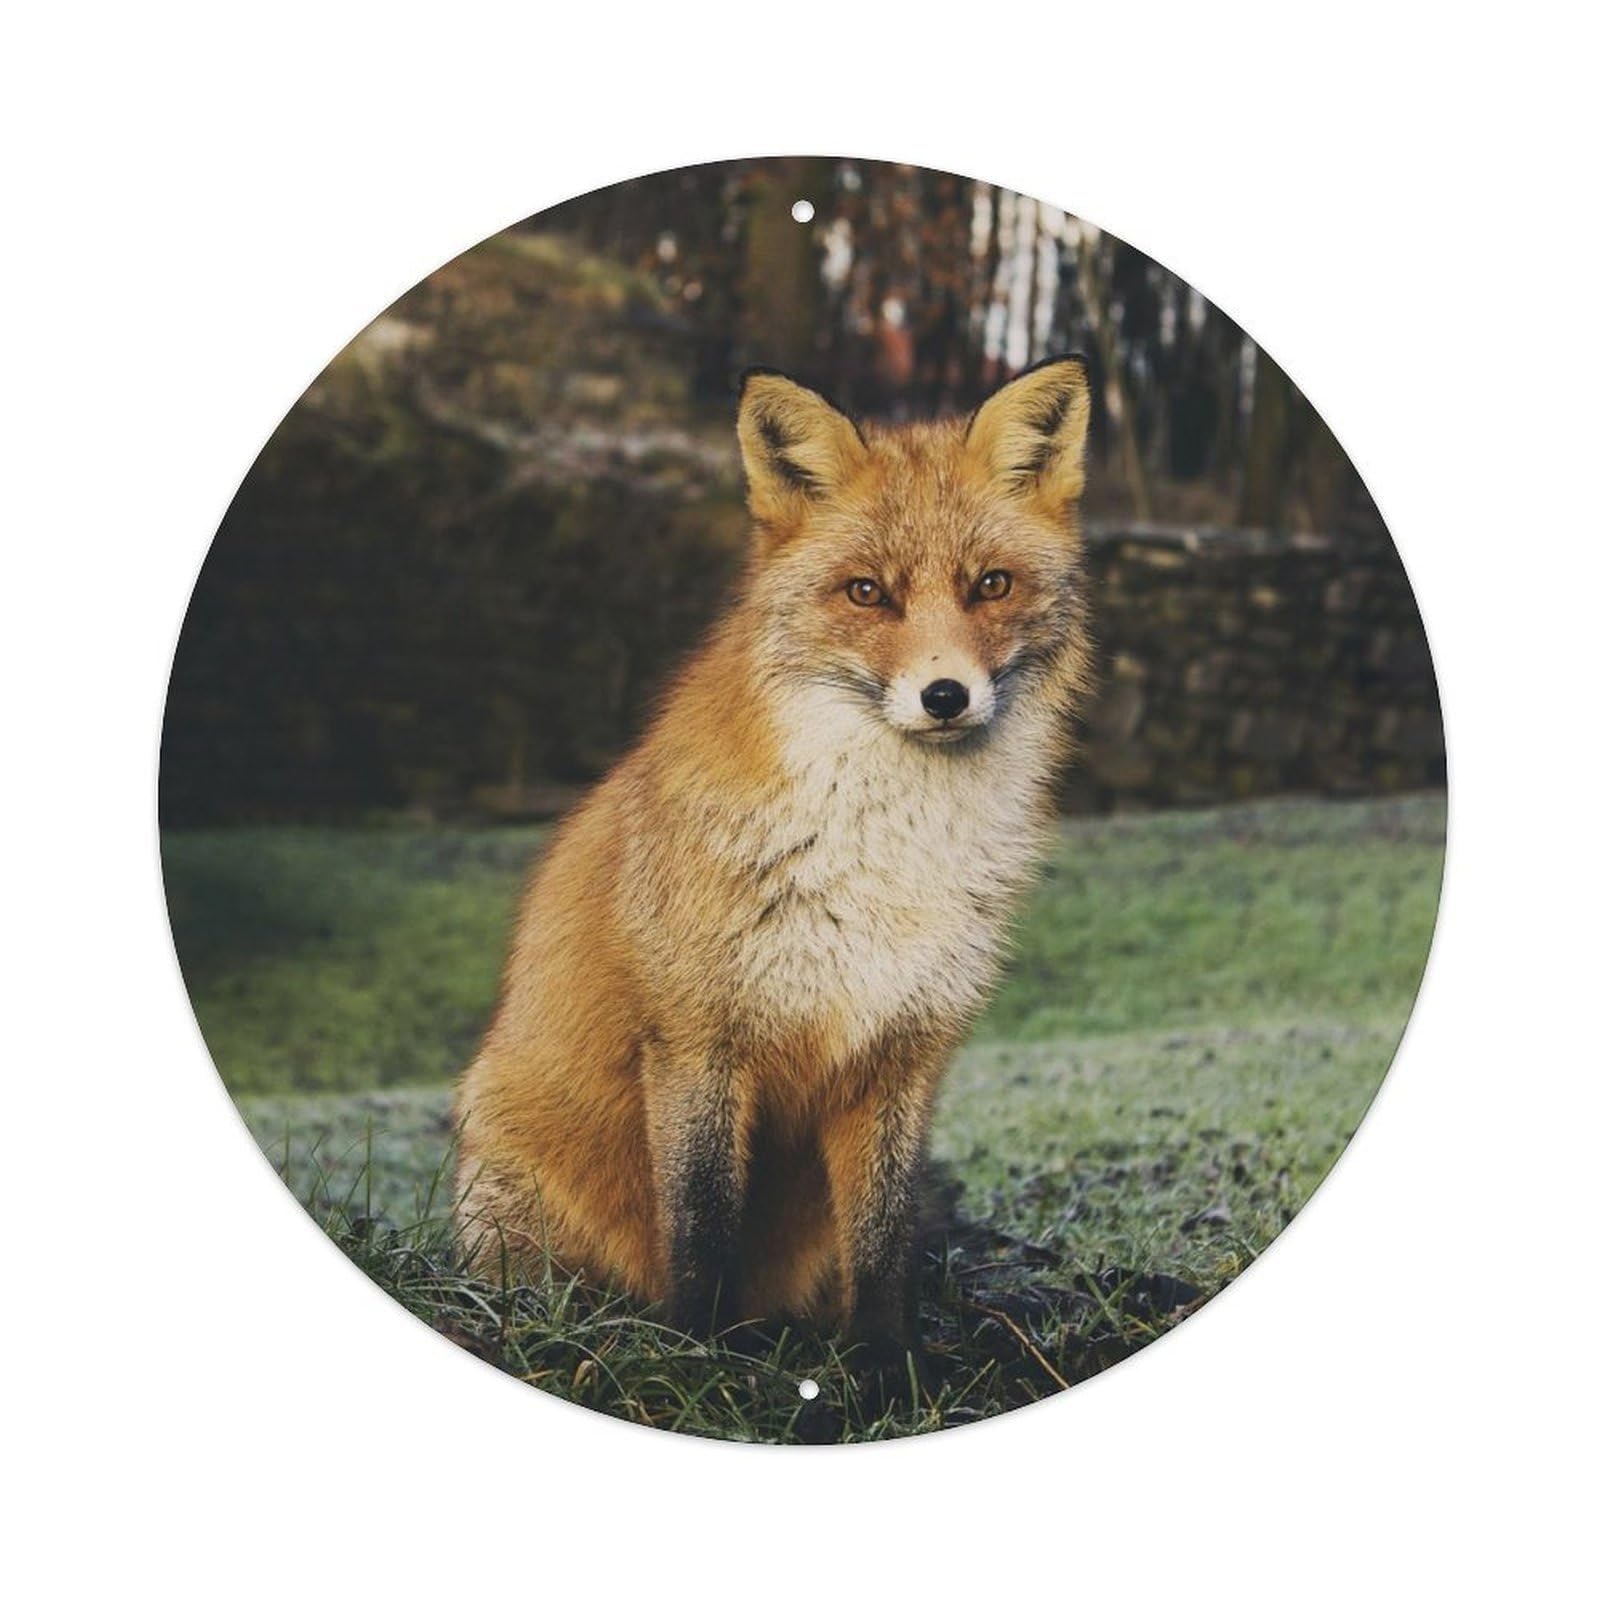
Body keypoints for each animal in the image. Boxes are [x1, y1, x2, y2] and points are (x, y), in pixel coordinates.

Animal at [453, 355, 1094, 1351]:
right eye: (867, 592)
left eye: (991, 585)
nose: (946, 696)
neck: (885, 857)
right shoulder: (697, 1041)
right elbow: (703, 1227)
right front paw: (699, 1357)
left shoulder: (903, 1052)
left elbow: (884, 1245)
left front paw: (886, 1366)